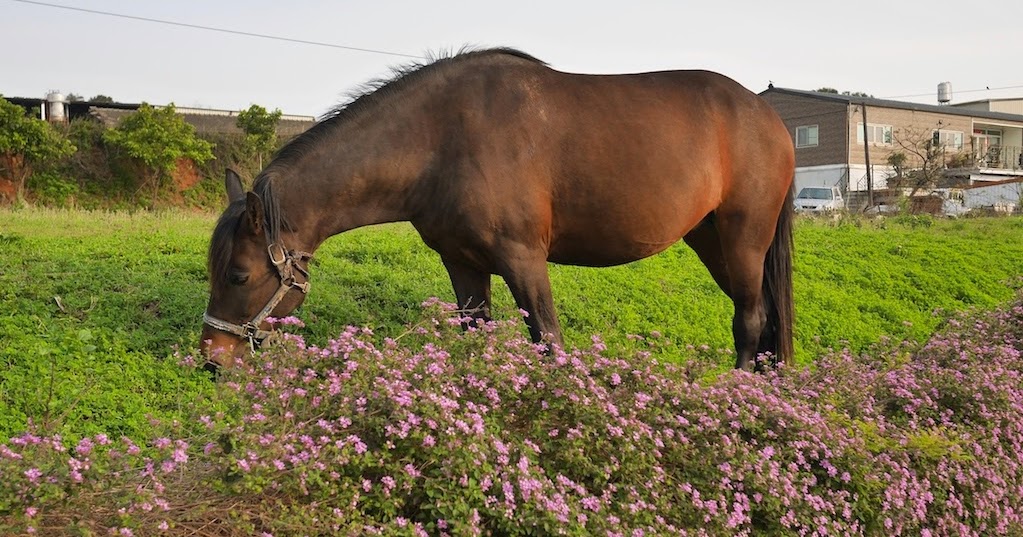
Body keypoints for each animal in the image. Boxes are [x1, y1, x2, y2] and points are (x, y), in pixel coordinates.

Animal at [197, 48, 789, 368]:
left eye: (239, 274)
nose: (211, 358)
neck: (440, 140)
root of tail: (767, 117)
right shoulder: (463, 263)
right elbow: (476, 335)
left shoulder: (523, 259)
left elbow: (548, 340)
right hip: (711, 239)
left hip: (744, 239)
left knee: (751, 319)